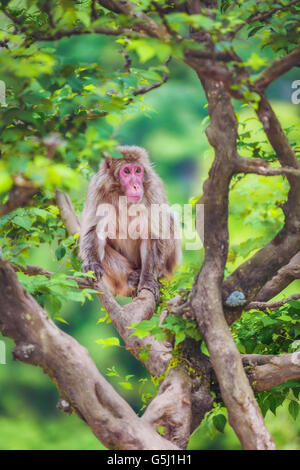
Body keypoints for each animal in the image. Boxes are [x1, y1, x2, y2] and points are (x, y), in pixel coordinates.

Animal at [79, 145, 180, 302]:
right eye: (126, 171)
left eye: (138, 171)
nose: (136, 186)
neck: (122, 195)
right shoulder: (97, 190)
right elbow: (94, 230)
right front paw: (92, 264)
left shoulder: (153, 190)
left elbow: (152, 232)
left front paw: (148, 280)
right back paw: (132, 277)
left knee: (168, 219)